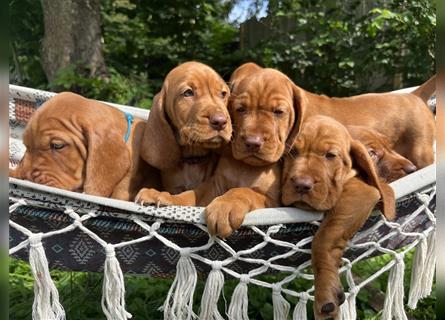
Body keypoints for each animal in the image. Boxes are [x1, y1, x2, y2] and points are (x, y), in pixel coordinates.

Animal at [282, 115, 394, 320]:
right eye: (293, 151)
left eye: (330, 156)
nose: (302, 185)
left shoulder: (361, 192)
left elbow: (323, 239)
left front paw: (325, 291)